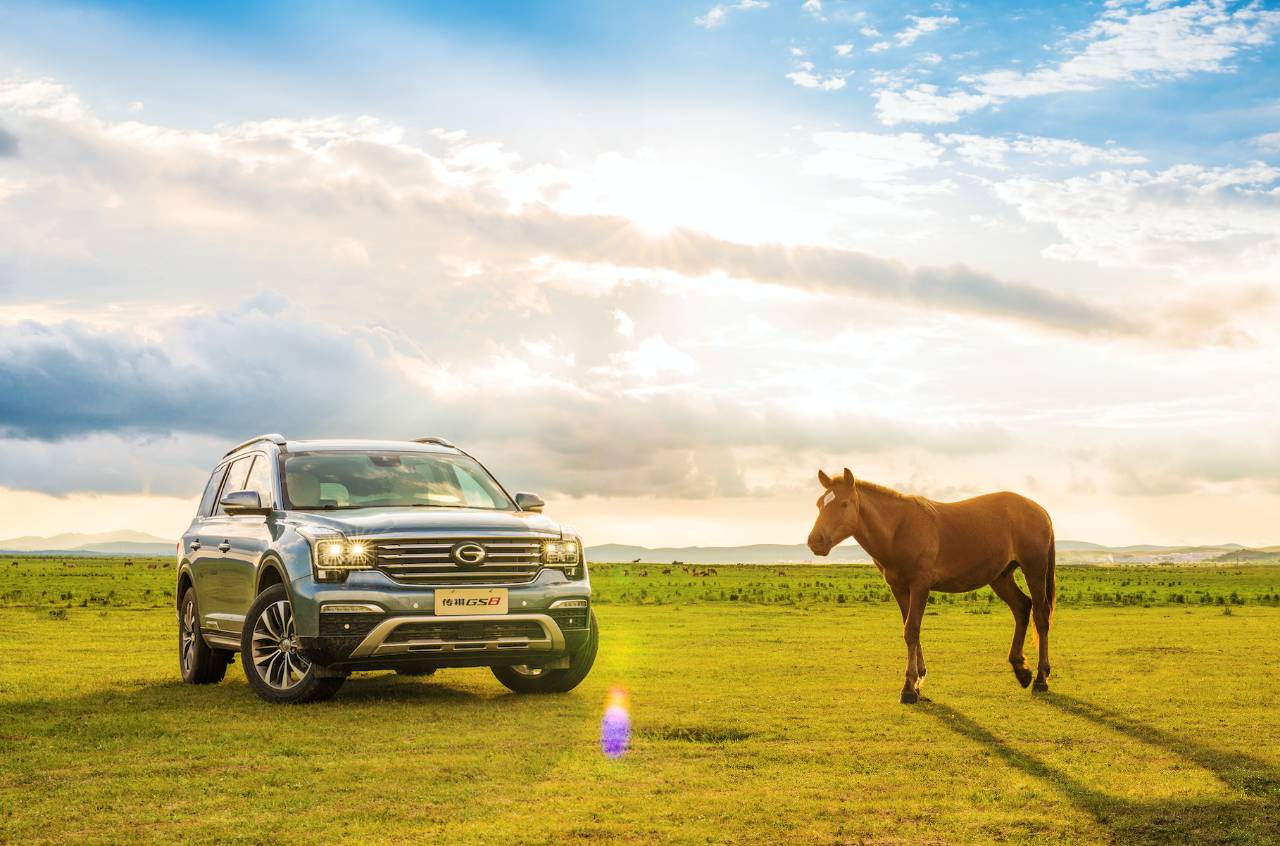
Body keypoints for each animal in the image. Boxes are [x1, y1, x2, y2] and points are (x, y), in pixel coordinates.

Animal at [803, 468, 1054, 701]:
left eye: (844, 503)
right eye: (819, 504)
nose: (815, 541)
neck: (898, 529)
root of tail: (1040, 511)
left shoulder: (920, 586)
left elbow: (912, 629)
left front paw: (908, 688)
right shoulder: (899, 589)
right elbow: (910, 630)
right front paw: (918, 679)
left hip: (1034, 570)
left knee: (1040, 616)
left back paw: (1041, 678)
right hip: (1000, 577)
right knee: (1022, 608)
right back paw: (1021, 669)